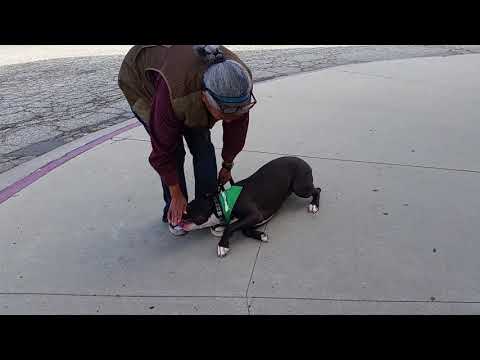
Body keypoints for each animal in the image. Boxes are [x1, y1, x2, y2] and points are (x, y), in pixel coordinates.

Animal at [182, 156, 320, 258]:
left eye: (187, 211)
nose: (177, 219)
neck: (221, 203)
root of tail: (303, 161)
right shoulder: (253, 219)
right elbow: (244, 230)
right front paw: (261, 235)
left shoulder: (255, 215)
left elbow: (231, 227)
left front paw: (223, 245)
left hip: (300, 188)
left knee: (317, 190)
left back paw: (314, 205)